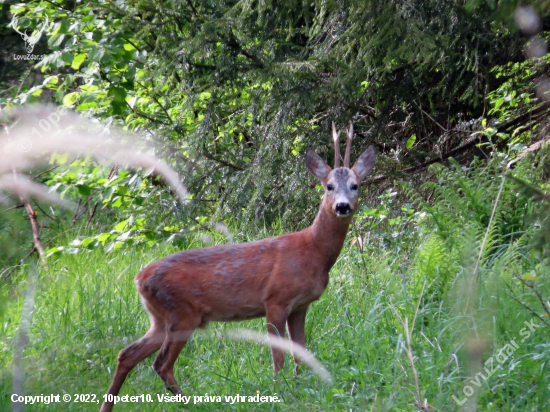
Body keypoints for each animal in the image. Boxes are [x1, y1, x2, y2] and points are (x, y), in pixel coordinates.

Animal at [100, 123, 376, 412]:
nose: (342, 206)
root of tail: (139, 279)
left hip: (159, 318)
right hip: (182, 314)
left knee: (127, 354)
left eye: (355, 185)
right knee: (161, 364)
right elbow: (278, 356)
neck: (312, 251)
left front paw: (301, 388)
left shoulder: (300, 305)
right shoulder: (275, 300)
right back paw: (193, 404)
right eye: (329, 186)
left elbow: (301, 352)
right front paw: (280, 392)